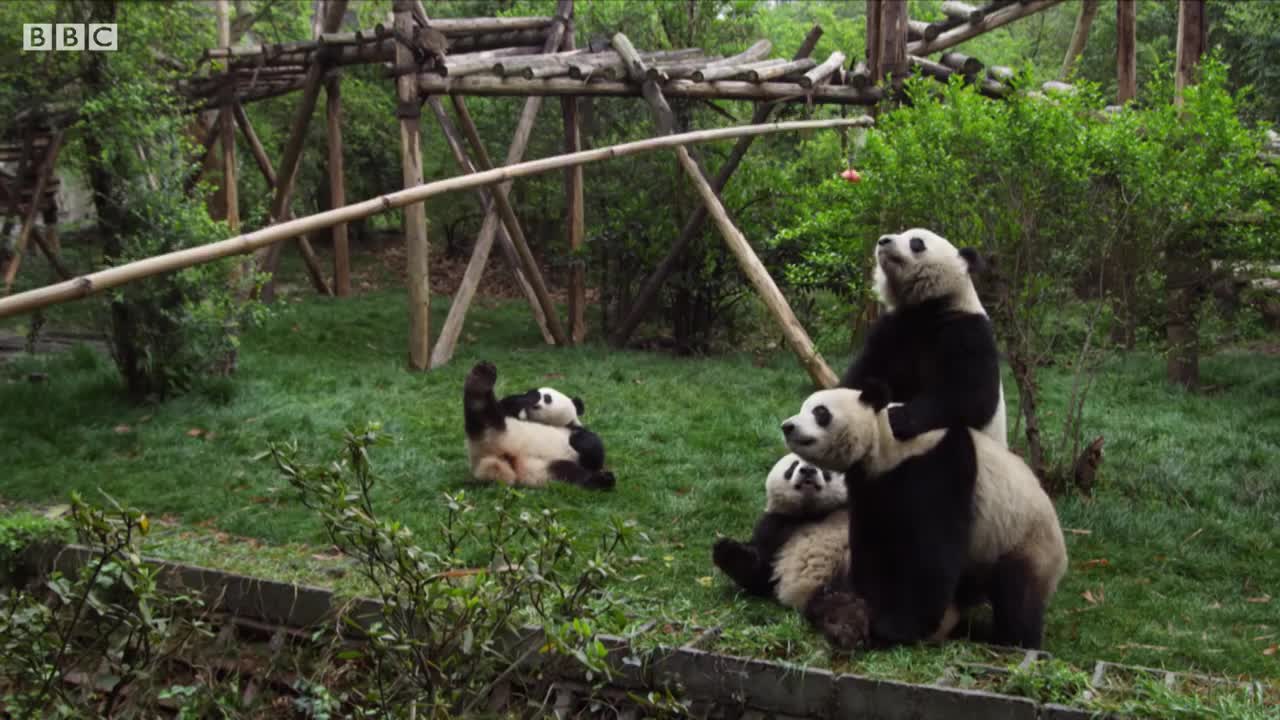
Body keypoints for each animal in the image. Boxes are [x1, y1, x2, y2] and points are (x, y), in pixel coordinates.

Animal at [463, 361, 614, 490]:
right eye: (535, 393)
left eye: (547, 398)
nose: (535, 404)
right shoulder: (510, 413)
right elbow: (507, 404)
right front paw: (524, 399)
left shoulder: (574, 429)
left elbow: (593, 456)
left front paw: (576, 439)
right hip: (502, 429)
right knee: (483, 409)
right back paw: (481, 377)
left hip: (546, 470)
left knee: (575, 475)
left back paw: (604, 479)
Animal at [711, 453, 850, 611]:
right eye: (793, 465)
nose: (808, 470)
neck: (811, 512)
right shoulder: (776, 526)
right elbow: (759, 574)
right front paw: (728, 549)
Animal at [780, 381, 1067, 651]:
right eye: (804, 407)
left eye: (820, 412)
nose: (787, 426)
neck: (885, 439)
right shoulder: (872, 484)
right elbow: (874, 541)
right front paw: (856, 611)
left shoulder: (936, 467)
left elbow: (931, 554)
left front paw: (892, 629)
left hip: (1023, 540)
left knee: (1018, 595)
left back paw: (1013, 641)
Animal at [841, 228, 1008, 448]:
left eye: (916, 242)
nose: (883, 241)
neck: (926, 307)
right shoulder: (891, 328)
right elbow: (862, 373)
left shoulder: (967, 330)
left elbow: (972, 396)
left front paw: (898, 417)